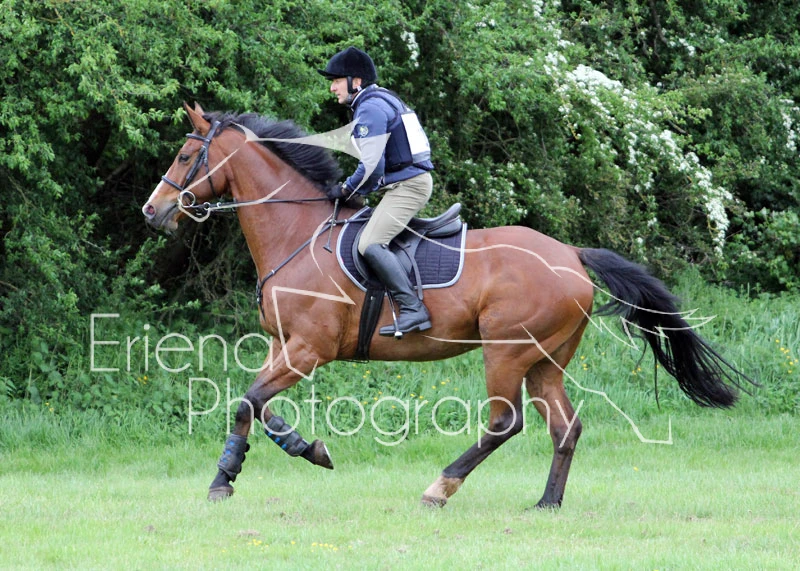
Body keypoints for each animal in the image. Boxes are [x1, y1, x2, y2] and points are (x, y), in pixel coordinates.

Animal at [142, 102, 751, 508]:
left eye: (185, 154)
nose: (153, 211)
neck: (298, 232)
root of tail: (572, 256)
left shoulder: (309, 348)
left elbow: (248, 400)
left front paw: (234, 474)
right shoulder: (282, 346)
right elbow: (256, 404)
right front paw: (285, 454)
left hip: (506, 352)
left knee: (505, 423)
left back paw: (440, 487)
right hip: (545, 361)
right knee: (565, 428)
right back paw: (546, 503)